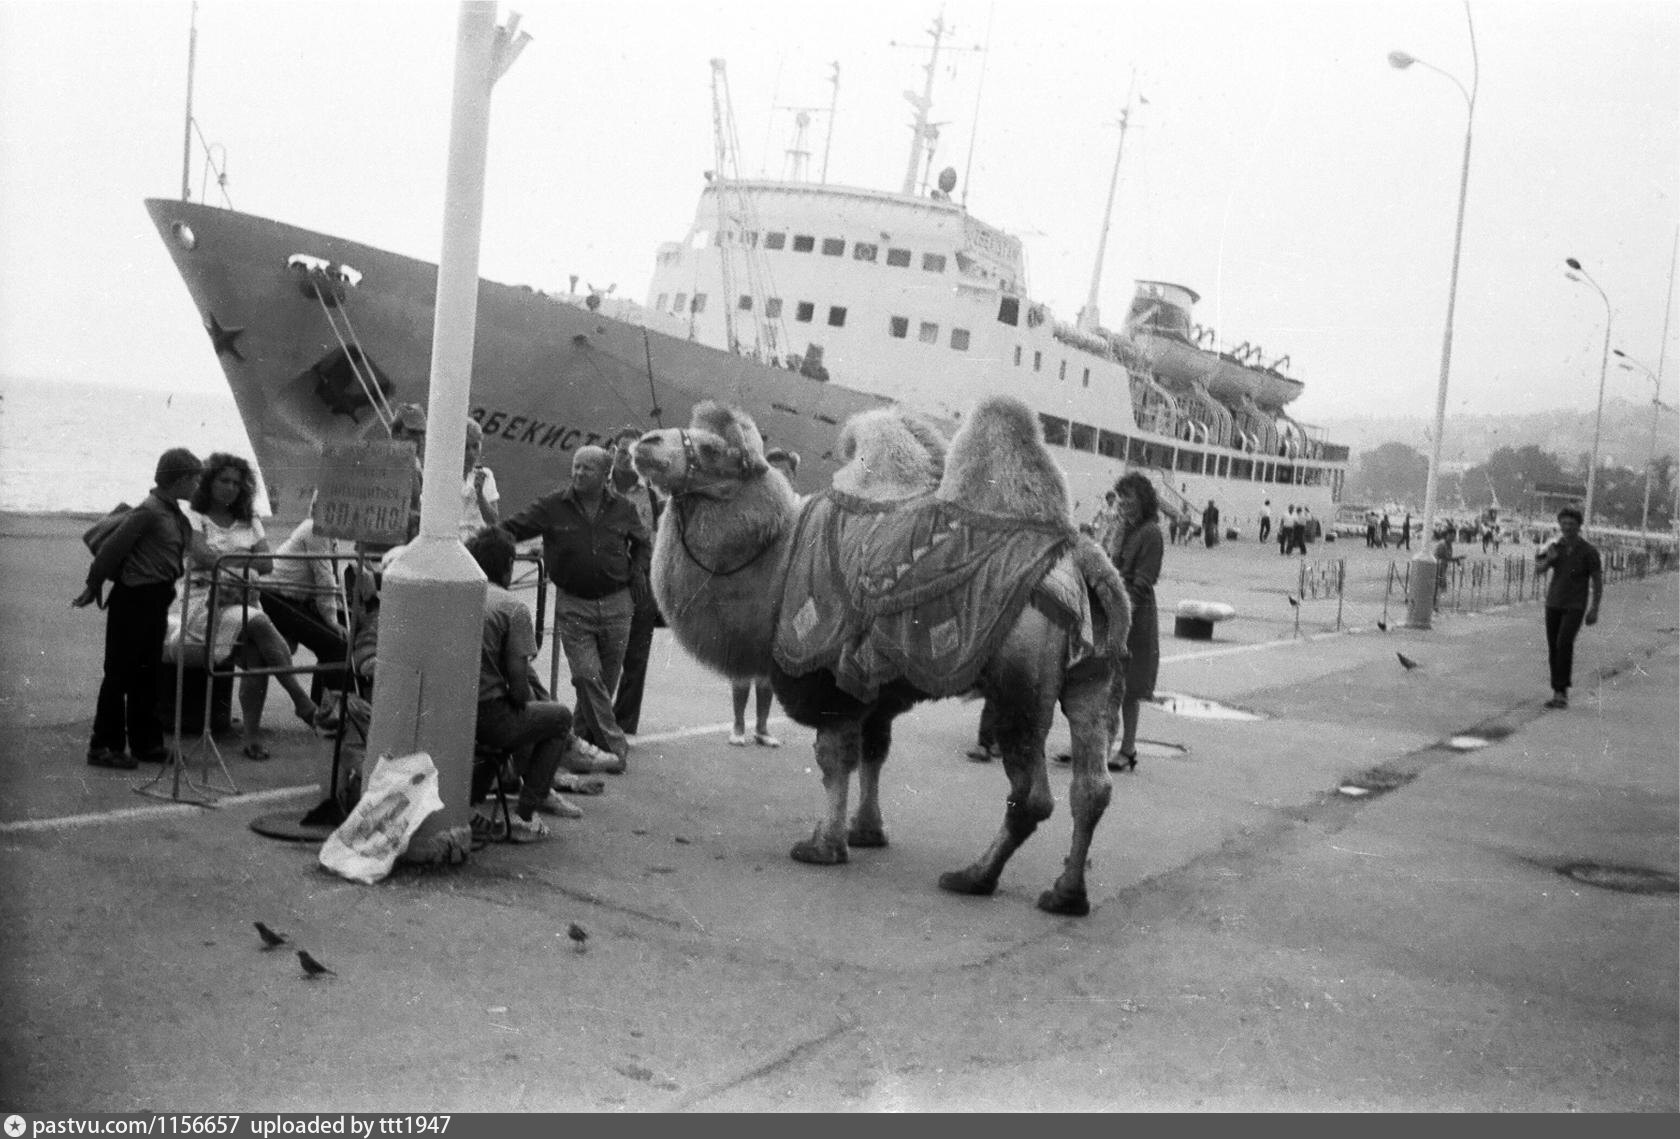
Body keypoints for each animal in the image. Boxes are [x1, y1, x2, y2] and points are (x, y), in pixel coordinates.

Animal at [633, 397, 1129, 915]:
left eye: (714, 450)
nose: (645, 443)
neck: (777, 563)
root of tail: (1085, 559)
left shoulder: (824, 669)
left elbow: (834, 758)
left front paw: (823, 846)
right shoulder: (877, 687)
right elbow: (874, 751)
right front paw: (865, 830)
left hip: (1020, 681)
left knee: (1032, 795)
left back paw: (974, 876)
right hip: (1094, 677)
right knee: (1092, 788)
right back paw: (1066, 893)